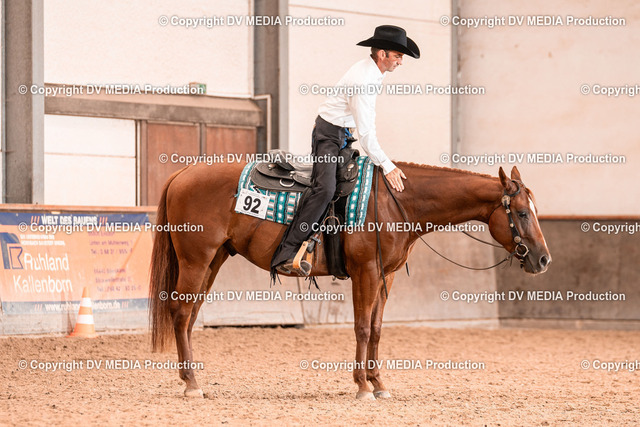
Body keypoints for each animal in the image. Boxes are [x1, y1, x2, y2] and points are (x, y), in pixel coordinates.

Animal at [149, 161, 551, 400]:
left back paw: (191, 378)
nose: (543, 259)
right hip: (196, 260)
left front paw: (379, 384)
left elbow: (376, 329)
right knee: (180, 314)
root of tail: (182, 174)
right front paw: (361, 386)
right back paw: (192, 385)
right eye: (520, 213)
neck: (395, 203)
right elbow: (361, 327)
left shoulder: (387, 277)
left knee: (190, 316)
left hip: (213, 260)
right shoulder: (366, 272)